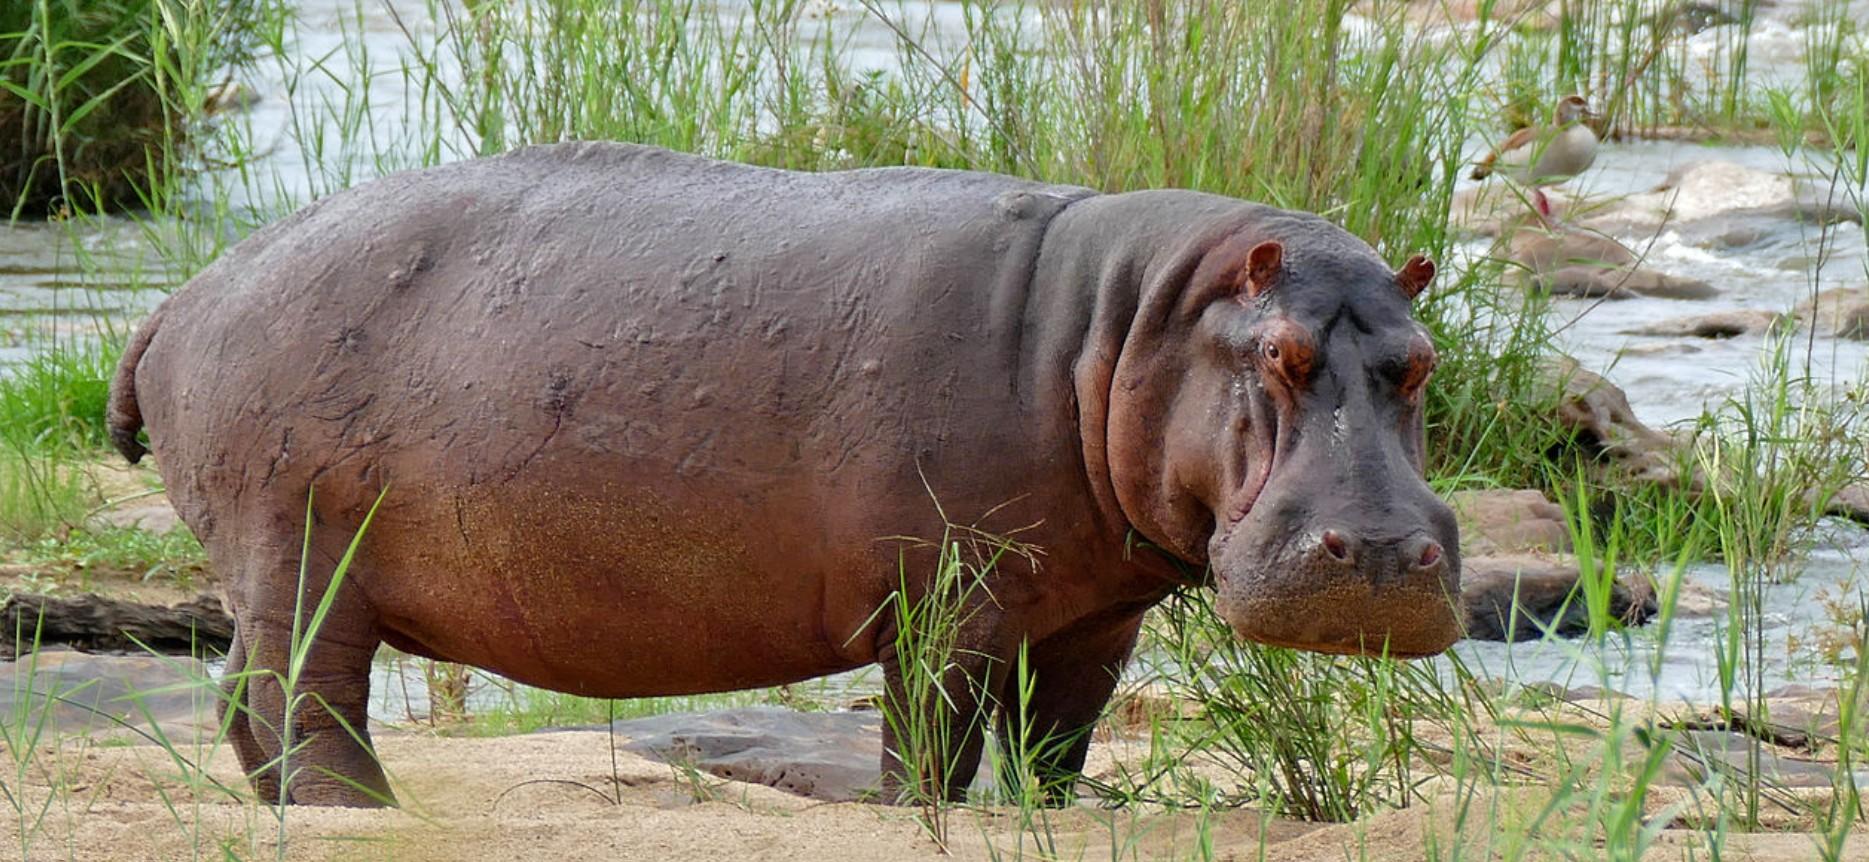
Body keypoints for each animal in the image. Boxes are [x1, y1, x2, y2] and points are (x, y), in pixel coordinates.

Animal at [107, 142, 1460, 807]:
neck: (1126, 325)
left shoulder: (1096, 613)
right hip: (301, 546)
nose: (1387, 552)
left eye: (1421, 361)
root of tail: (188, 292)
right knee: (303, 697)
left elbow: (1058, 742)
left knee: (245, 698)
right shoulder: (945, 596)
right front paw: (918, 814)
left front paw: (1054, 816)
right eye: (1280, 356)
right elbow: (932, 738)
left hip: (271, 561)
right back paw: (364, 811)